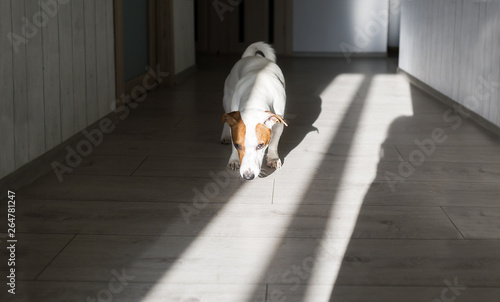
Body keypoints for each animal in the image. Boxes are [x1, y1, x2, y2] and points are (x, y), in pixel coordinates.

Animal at [221, 41, 288, 180]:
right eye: (238, 145)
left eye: (260, 146)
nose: (248, 176)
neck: (255, 93)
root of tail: (252, 56)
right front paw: (234, 159)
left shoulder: (279, 124)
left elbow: (274, 143)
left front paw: (273, 158)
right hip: (227, 98)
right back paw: (224, 135)